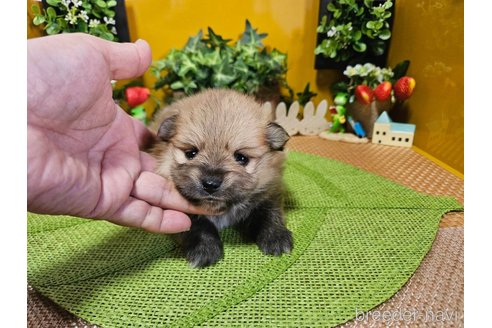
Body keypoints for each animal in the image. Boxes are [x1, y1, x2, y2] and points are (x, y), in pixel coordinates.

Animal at [148, 88, 290, 268]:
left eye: (241, 158)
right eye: (191, 153)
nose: (210, 183)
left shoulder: (269, 191)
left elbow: (269, 213)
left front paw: (276, 236)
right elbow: (197, 225)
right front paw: (204, 249)